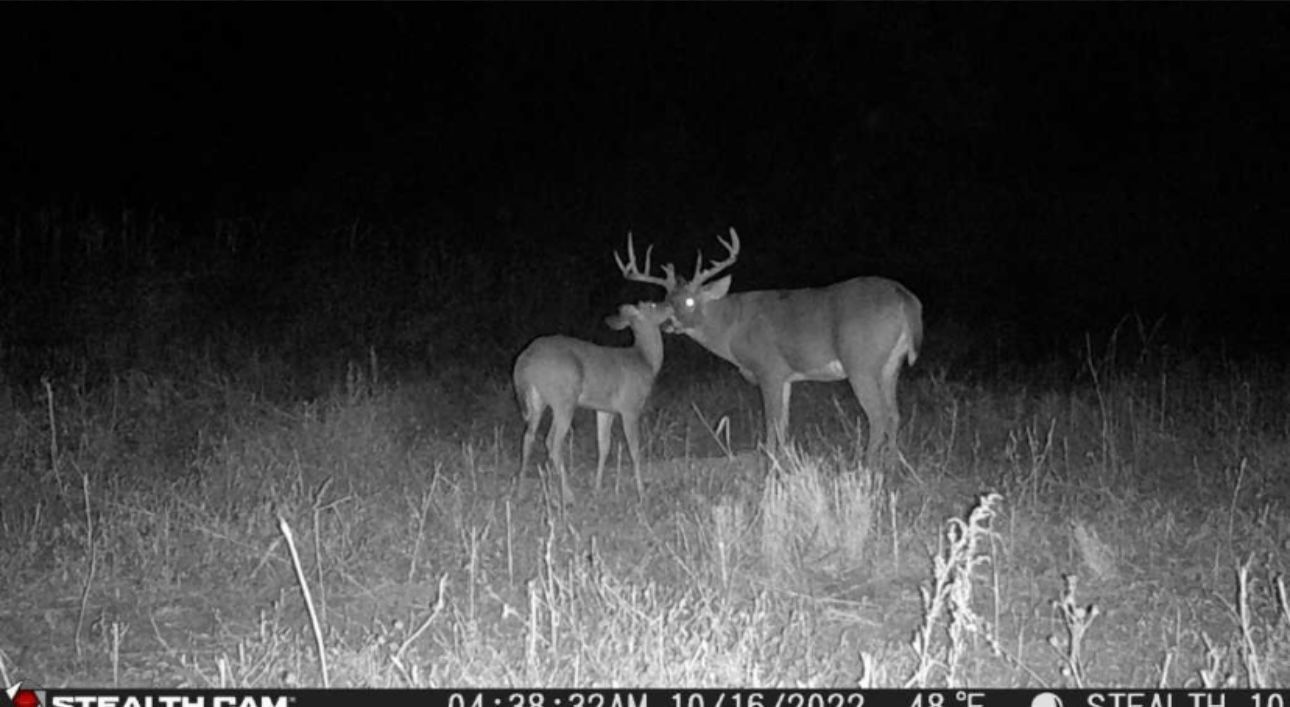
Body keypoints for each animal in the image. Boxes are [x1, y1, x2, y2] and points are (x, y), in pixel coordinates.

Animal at [512, 300, 673, 502]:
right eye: (652, 305)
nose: (670, 306)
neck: (645, 361)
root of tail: (524, 359)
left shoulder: (605, 409)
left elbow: (603, 446)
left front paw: (597, 489)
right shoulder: (630, 407)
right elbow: (634, 449)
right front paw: (642, 492)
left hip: (538, 401)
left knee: (529, 437)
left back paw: (521, 491)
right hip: (564, 399)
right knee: (553, 442)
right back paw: (569, 495)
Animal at [615, 228, 922, 466]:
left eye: (690, 301)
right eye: (668, 302)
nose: (669, 324)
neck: (732, 327)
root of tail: (906, 300)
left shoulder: (769, 369)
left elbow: (771, 421)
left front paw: (771, 462)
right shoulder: (785, 376)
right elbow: (783, 422)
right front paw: (784, 459)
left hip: (861, 362)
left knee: (878, 416)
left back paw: (866, 465)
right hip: (890, 365)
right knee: (894, 414)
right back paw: (892, 463)